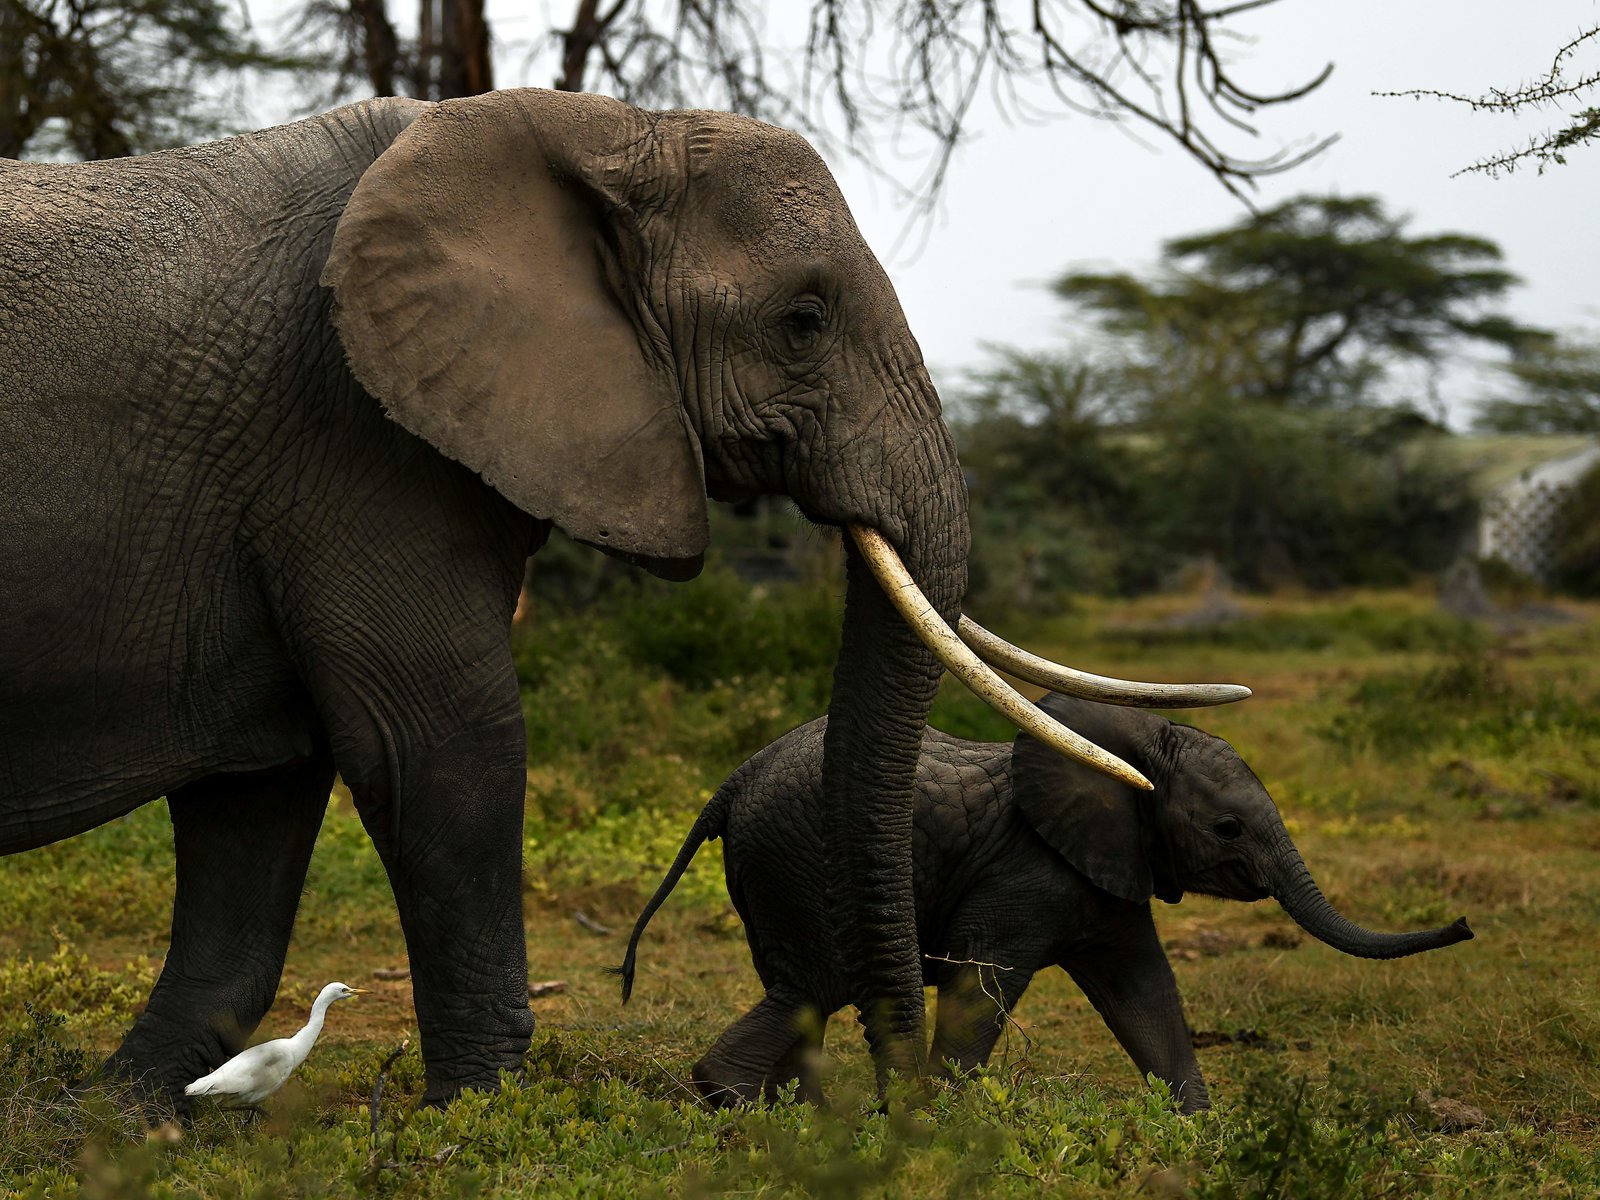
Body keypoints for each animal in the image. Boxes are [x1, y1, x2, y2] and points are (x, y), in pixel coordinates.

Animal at [0, 91, 1241, 1107]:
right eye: (801, 321)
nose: (907, 1104)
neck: (589, 128)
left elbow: (257, 792)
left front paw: (129, 1120)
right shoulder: (351, 438)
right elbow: (440, 747)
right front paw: (480, 1115)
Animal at [614, 694, 1472, 1120]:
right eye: (1227, 828)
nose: (1464, 926)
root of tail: (732, 782)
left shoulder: (1108, 870)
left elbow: (1145, 991)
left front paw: (1201, 1134)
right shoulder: (1028, 872)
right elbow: (983, 986)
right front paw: (943, 1129)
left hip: (773, 867)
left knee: (794, 992)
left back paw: (808, 1122)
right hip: (801, 860)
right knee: (810, 988)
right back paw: (756, 1115)